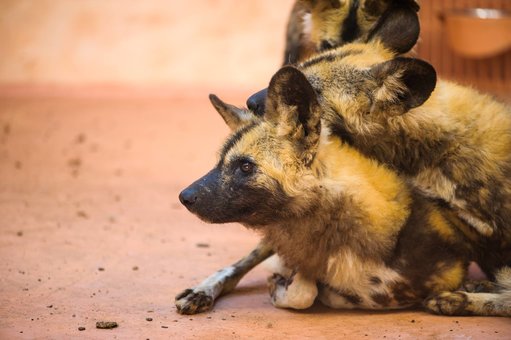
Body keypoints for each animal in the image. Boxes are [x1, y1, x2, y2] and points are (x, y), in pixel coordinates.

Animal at [176, 65, 511, 316]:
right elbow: (304, 290)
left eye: (245, 166)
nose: (184, 197)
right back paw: (201, 291)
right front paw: (285, 282)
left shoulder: (437, 276)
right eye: (219, 163)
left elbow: (328, 291)